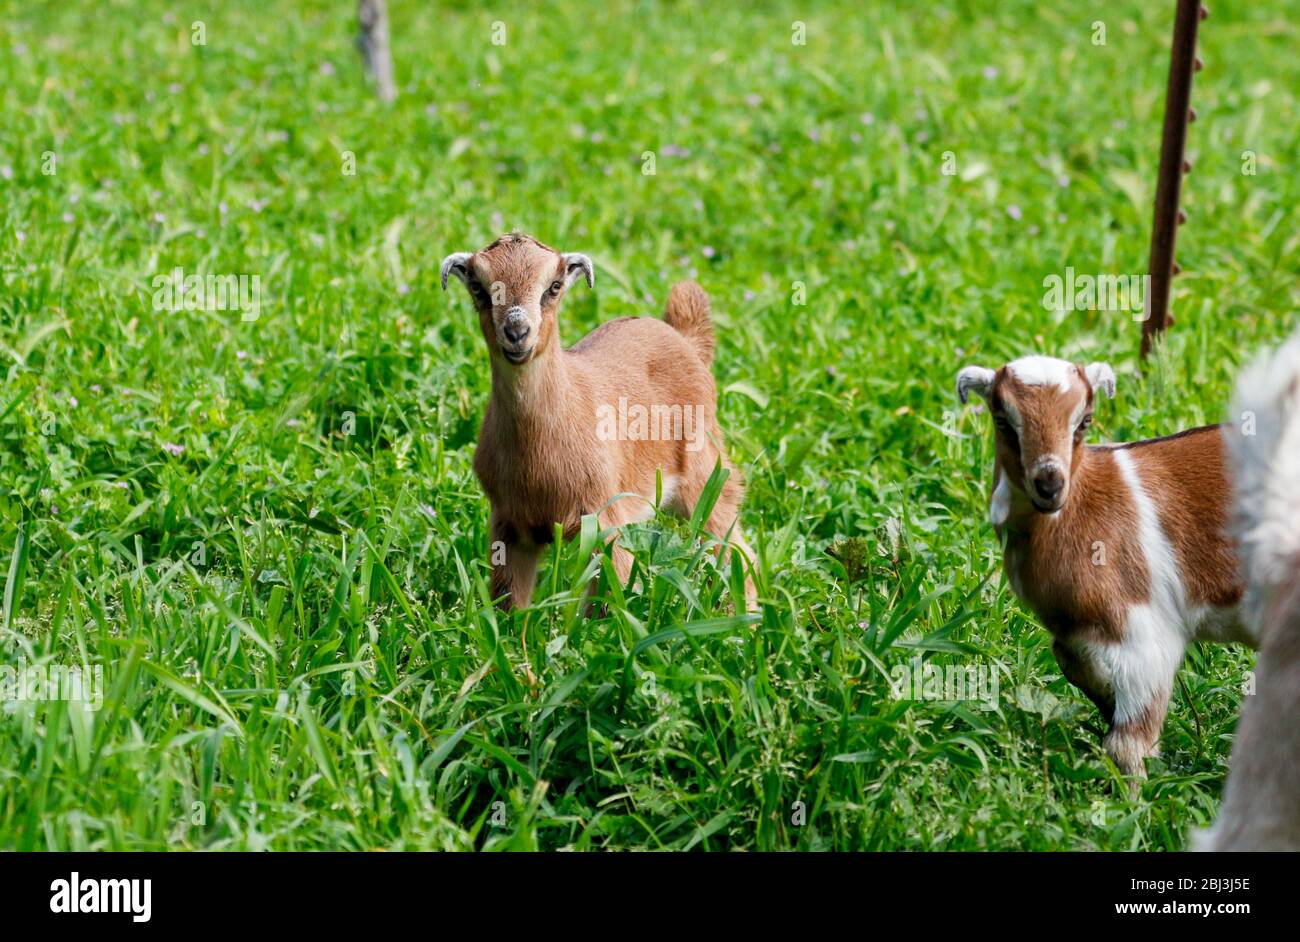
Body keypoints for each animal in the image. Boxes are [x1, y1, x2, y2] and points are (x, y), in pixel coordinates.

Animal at [441, 233, 759, 610]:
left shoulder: (604, 518)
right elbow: (508, 606)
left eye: (554, 286)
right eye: (478, 287)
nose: (517, 332)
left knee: (736, 549)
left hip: (706, 473)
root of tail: (686, 340)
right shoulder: (509, 525)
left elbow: (609, 605)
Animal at [961, 356, 1253, 784]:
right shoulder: (1074, 629)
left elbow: (1128, 744)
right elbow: (1074, 665)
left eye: (1084, 420)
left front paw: (1134, 800)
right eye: (1002, 420)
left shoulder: (1143, 632)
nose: (1050, 484)